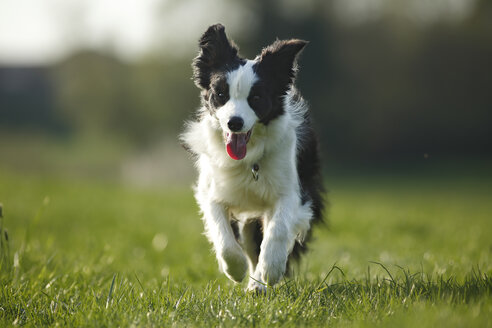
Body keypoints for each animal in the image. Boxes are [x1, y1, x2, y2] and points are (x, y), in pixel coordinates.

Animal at [181, 25, 322, 292]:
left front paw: (271, 270)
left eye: (256, 98)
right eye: (220, 94)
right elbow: (223, 235)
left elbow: (278, 229)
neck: (249, 158)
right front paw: (235, 270)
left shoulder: (293, 192)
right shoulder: (212, 191)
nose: (234, 123)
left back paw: (259, 284)